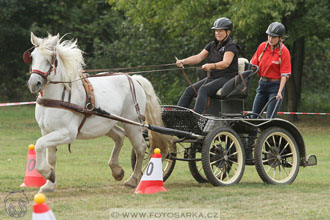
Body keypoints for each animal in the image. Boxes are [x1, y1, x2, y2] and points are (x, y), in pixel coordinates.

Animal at [26, 33, 171, 192]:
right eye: (32, 56)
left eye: (51, 58)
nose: (34, 83)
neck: (57, 96)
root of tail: (133, 78)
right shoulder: (47, 131)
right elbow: (51, 157)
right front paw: (50, 183)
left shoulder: (67, 133)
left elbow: (39, 145)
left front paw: (47, 173)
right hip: (106, 123)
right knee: (120, 136)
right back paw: (116, 170)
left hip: (132, 123)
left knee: (140, 147)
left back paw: (133, 180)